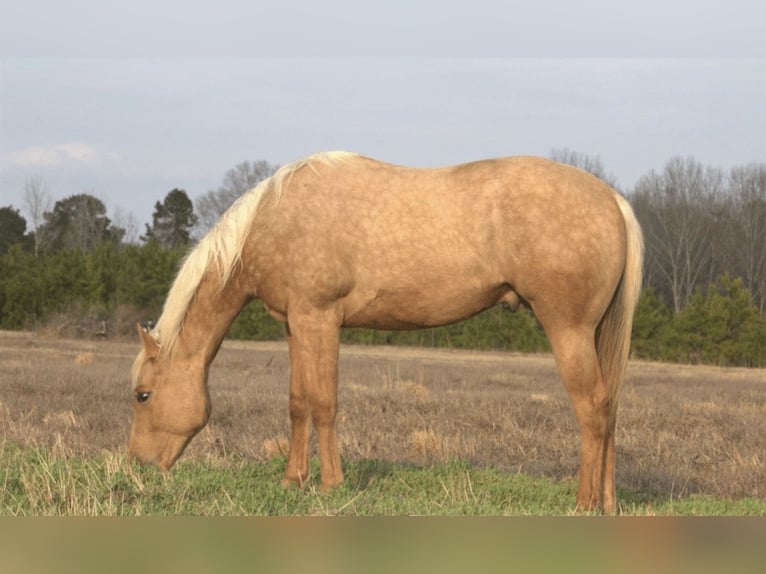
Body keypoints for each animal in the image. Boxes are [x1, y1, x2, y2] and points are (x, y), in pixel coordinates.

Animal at [129, 151, 643, 513]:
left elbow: (324, 404)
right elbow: (298, 404)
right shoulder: (295, 325)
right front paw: (293, 480)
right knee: (610, 408)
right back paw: (608, 504)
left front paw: (330, 484)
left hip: (569, 331)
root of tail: (612, 200)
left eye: (142, 394)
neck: (274, 220)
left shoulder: (320, 319)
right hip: (596, 335)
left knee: (591, 410)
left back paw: (584, 504)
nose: (138, 466)